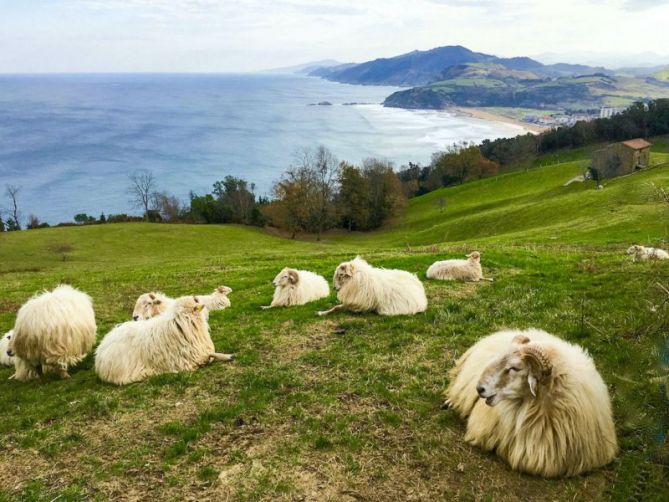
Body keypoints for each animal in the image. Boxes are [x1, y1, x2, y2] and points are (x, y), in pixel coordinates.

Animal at [92, 294, 231, 384]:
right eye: (196, 300)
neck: (182, 322)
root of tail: (100, 348)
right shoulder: (190, 358)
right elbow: (210, 356)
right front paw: (227, 356)